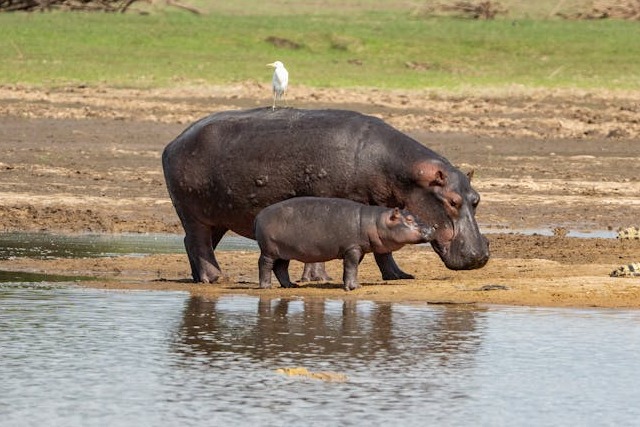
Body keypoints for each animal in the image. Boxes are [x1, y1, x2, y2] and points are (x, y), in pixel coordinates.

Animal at [255, 197, 435, 290]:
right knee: (264, 264)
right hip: (269, 250)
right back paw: (266, 287)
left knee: (281, 268)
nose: (433, 227)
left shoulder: (358, 249)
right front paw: (354, 287)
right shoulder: (352, 248)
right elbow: (351, 266)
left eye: (414, 215)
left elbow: (351, 268)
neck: (375, 222)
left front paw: (349, 284)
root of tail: (259, 215)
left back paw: (290, 286)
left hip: (284, 251)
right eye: (409, 219)